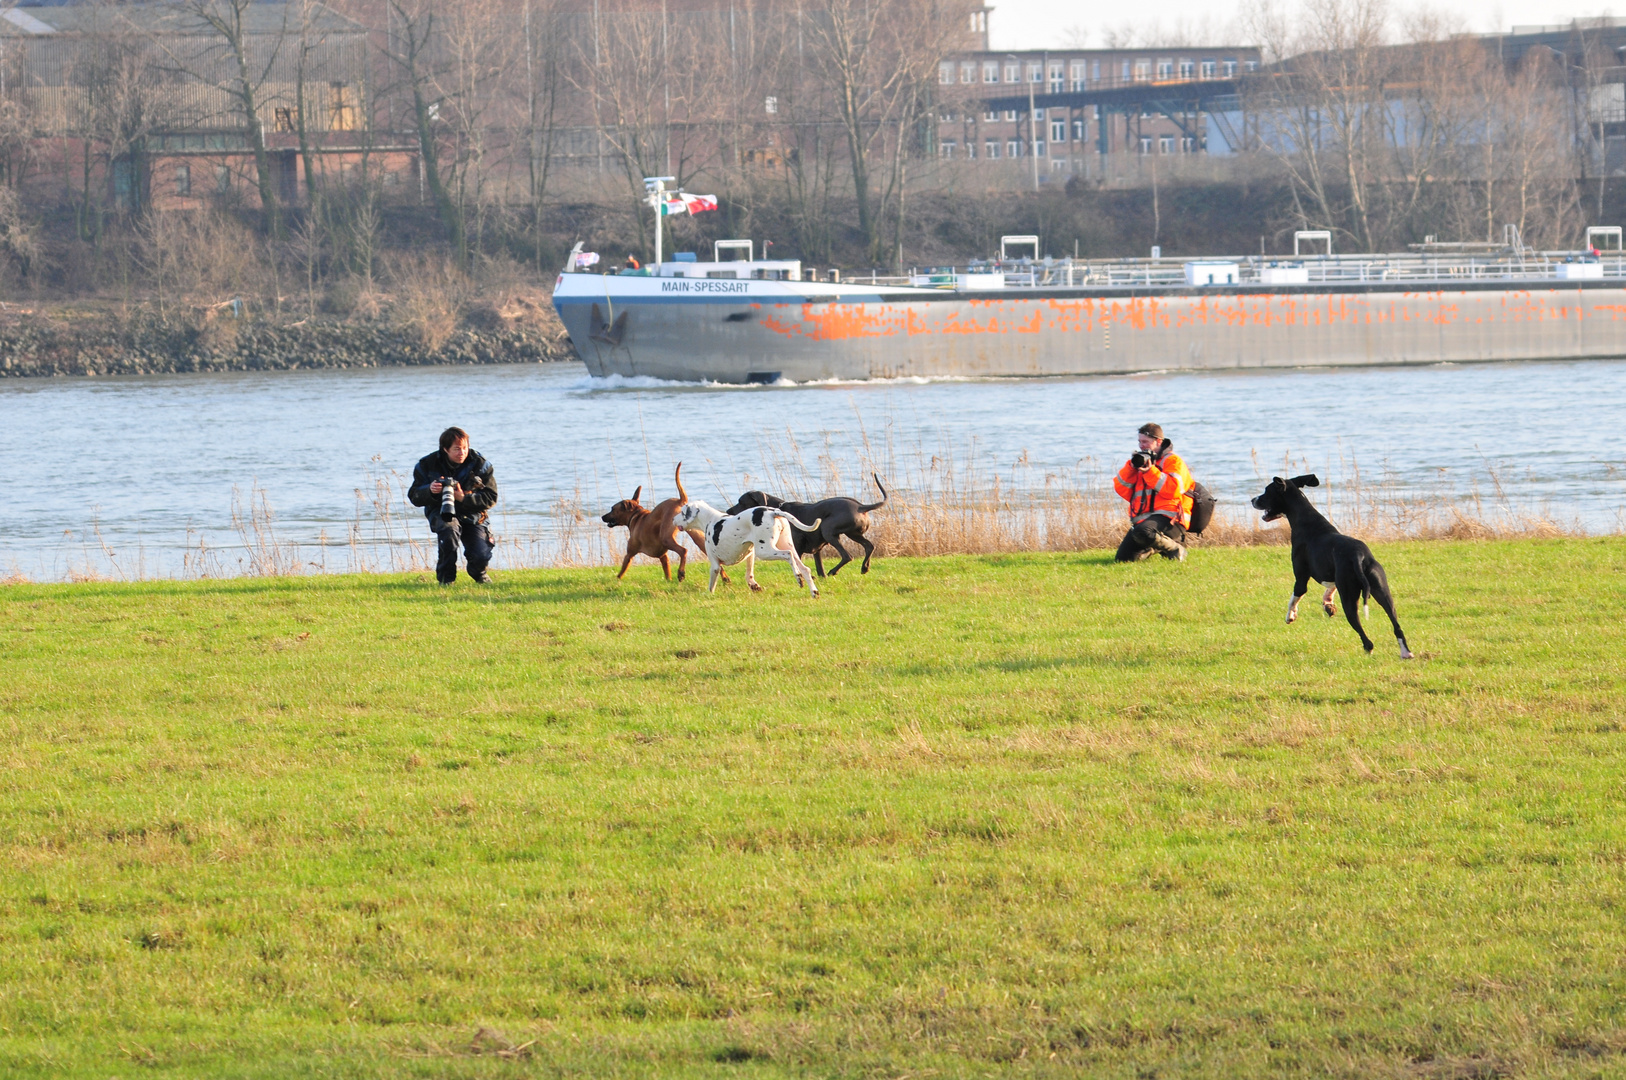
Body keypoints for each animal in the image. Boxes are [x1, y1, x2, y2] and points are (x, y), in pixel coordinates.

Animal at [676, 500, 826, 598]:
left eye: (682, 512)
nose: (673, 519)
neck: (710, 519)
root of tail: (773, 512)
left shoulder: (715, 565)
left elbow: (711, 584)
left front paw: (708, 594)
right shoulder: (750, 554)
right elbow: (749, 575)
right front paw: (754, 586)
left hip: (766, 551)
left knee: (788, 556)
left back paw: (798, 577)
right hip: (785, 546)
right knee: (805, 569)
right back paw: (814, 592)